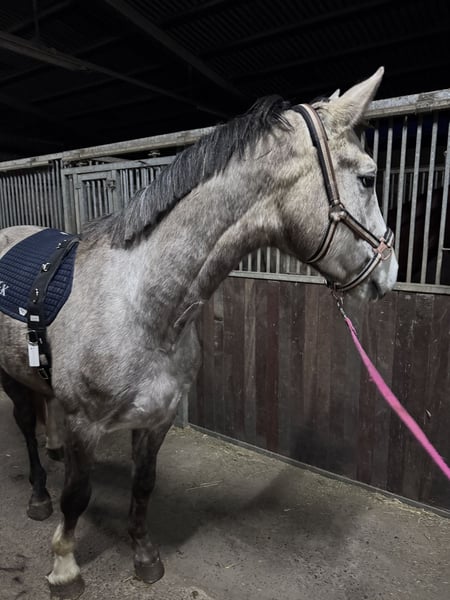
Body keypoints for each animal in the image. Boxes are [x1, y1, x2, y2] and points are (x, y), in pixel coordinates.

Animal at [0, 68, 398, 597]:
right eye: (368, 177)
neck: (142, 306)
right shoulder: (87, 423)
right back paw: (39, 494)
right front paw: (65, 566)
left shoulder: (158, 418)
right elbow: (77, 496)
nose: (389, 274)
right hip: (8, 376)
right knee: (26, 425)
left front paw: (145, 556)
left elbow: (144, 485)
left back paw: (53, 449)